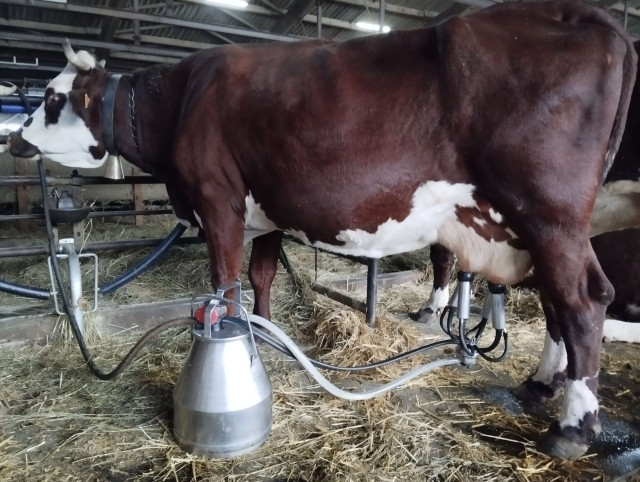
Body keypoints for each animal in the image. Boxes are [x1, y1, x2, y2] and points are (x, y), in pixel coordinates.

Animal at [7, 0, 636, 459]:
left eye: (52, 98)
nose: (13, 139)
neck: (182, 100)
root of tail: (578, 13)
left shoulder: (216, 198)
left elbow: (225, 279)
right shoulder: (262, 209)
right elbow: (260, 275)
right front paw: (267, 337)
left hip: (549, 213)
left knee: (583, 300)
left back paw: (572, 428)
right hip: (543, 226)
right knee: (558, 302)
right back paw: (539, 387)